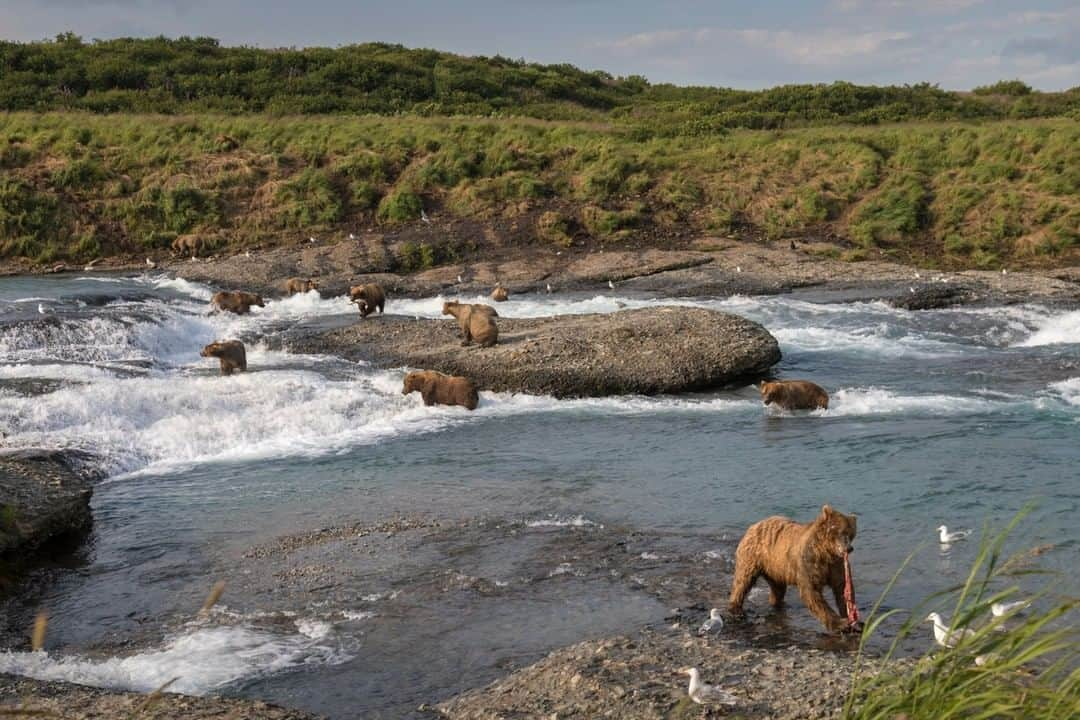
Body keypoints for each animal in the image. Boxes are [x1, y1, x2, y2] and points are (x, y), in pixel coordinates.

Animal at [725, 505, 859, 634]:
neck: (825, 553)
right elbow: (812, 591)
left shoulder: (836, 565)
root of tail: (754, 525)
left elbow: (842, 588)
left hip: (775, 567)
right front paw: (840, 624)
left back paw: (777, 603)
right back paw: (736, 608)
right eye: (841, 531)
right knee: (743, 580)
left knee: (778, 589)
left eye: (851, 533)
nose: (849, 548)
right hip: (753, 554)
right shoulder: (809, 563)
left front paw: (853, 620)